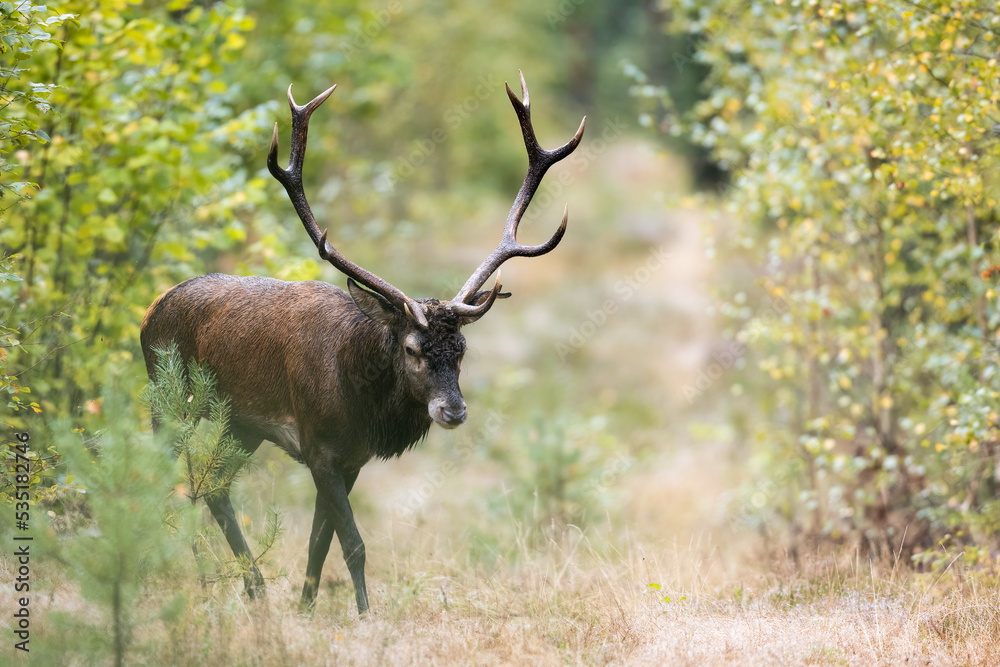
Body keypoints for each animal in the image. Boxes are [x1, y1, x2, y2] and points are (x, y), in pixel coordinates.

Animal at [139, 72, 585, 614]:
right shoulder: (318, 448)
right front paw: (365, 614)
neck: (359, 401)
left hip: (242, 424)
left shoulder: (351, 458)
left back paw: (256, 589)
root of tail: (150, 312)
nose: (453, 411)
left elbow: (319, 540)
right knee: (162, 476)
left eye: (462, 350)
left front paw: (305, 609)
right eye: (412, 349)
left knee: (217, 487)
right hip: (166, 402)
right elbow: (353, 542)